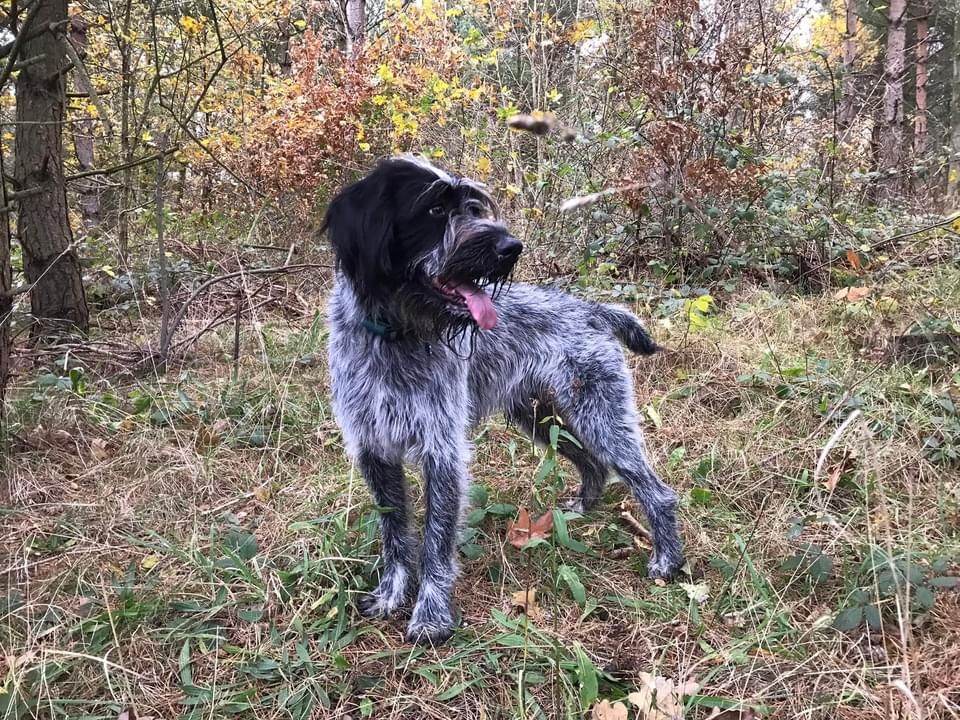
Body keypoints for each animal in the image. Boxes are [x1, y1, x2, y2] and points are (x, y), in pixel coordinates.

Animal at [326, 155, 688, 644]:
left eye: (474, 207)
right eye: (434, 211)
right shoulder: (373, 449)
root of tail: (591, 309)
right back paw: (582, 509)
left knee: (655, 491)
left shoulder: (442, 451)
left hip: (599, 416)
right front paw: (390, 595)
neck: (397, 335)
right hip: (540, 417)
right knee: (593, 464)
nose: (510, 247)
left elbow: (436, 541)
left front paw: (431, 615)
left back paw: (667, 560)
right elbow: (395, 534)